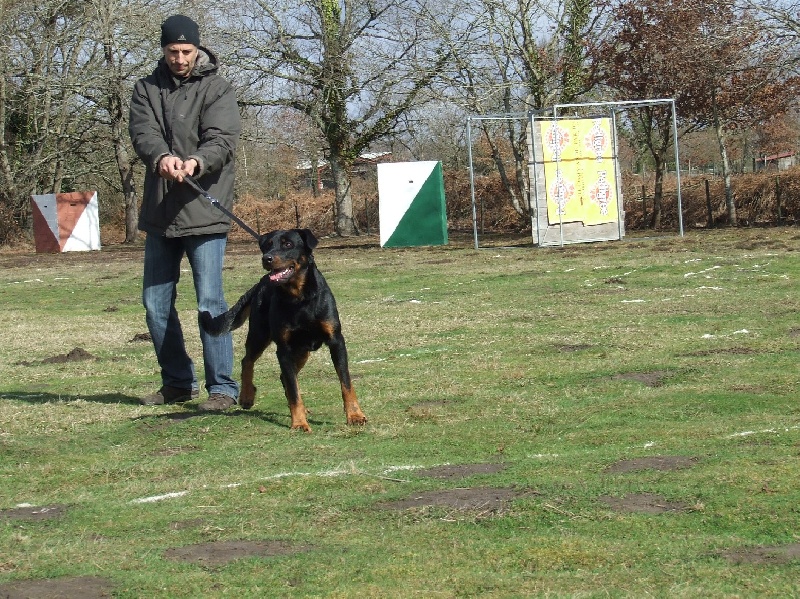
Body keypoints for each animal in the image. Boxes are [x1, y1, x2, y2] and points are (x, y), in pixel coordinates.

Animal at [200, 229, 366, 432]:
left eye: (288, 244)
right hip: (260, 334)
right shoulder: (284, 349)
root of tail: (260, 283)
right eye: (267, 245)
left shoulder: (336, 340)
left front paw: (355, 415)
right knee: (248, 360)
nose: (267, 258)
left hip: (301, 351)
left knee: (283, 375)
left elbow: (346, 383)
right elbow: (293, 389)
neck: (300, 297)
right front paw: (299, 423)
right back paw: (247, 396)